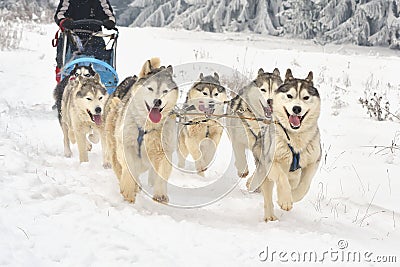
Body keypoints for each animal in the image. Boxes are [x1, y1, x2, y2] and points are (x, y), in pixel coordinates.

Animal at [108, 58, 180, 203]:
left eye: (165, 91)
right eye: (150, 88)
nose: (157, 101)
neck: (146, 127)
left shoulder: (164, 151)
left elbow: (161, 173)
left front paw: (160, 194)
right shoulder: (126, 146)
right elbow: (129, 169)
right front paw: (129, 189)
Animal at [253, 69, 322, 222]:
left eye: (306, 97)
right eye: (289, 95)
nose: (296, 108)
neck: (295, 138)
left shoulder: (314, 162)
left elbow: (304, 184)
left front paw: (294, 196)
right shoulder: (271, 162)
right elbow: (281, 178)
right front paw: (285, 199)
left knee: (295, 179)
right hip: (265, 171)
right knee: (267, 195)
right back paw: (270, 216)